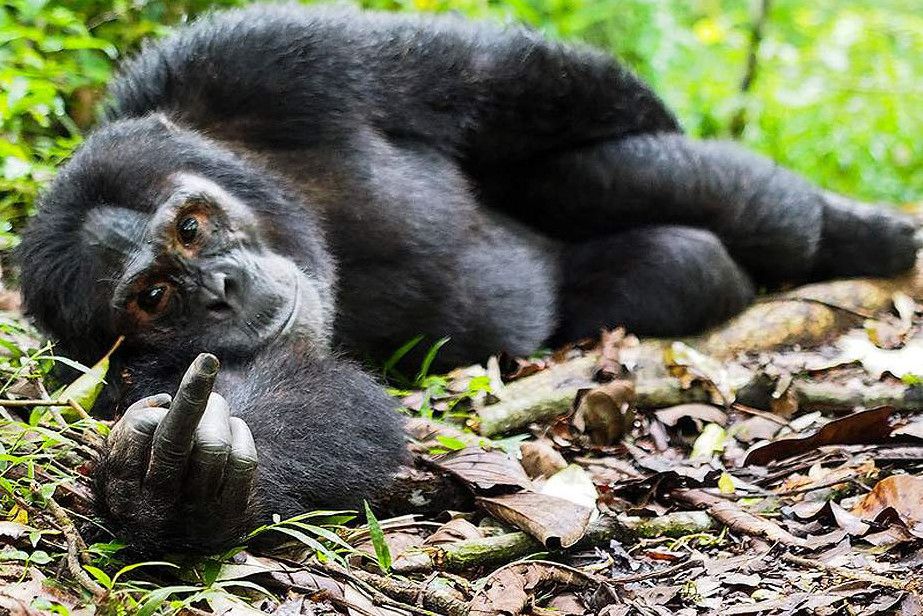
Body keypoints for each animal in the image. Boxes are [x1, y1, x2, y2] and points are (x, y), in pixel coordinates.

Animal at [18, 3, 920, 552]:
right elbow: (307, 394)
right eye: (154, 298)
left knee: (610, 175)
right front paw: (176, 484)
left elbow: (496, 79)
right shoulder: (121, 375)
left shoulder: (262, 59)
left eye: (192, 228)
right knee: (681, 262)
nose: (221, 289)